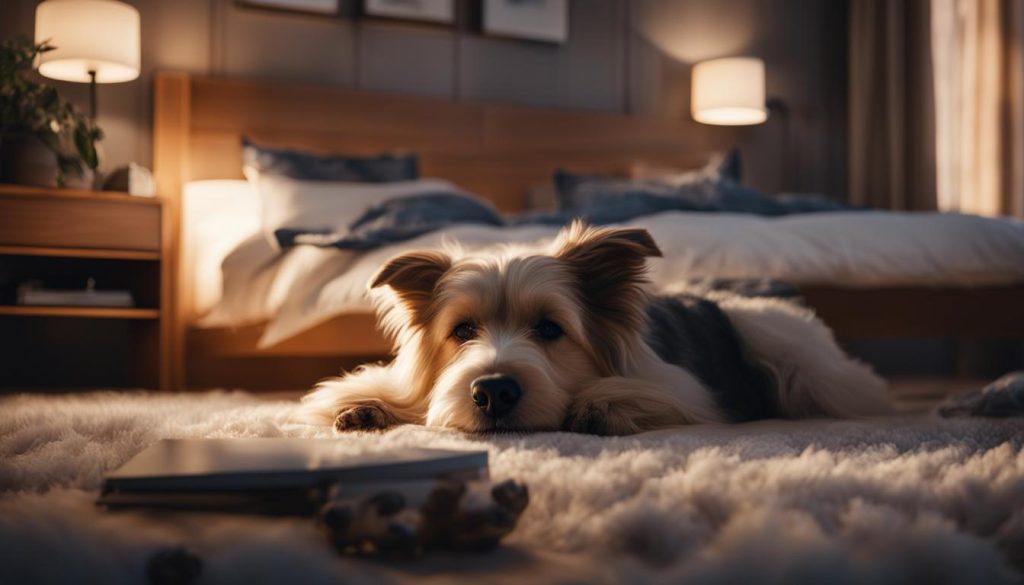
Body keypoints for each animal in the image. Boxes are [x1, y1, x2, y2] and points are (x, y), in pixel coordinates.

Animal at [299, 219, 892, 434]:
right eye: (462, 331)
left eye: (549, 329)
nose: (493, 393)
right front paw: (369, 407)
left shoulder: (683, 391)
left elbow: (651, 396)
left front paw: (599, 405)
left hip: (797, 358)